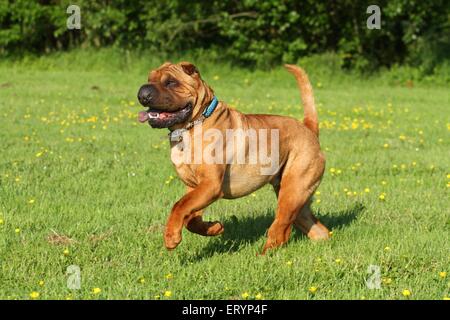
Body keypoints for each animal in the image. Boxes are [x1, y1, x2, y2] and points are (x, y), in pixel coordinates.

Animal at [135, 61, 328, 254]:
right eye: (149, 79)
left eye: (170, 82)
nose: (142, 94)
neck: (192, 126)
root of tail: (308, 128)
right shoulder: (194, 188)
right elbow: (190, 218)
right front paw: (213, 228)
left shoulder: (210, 185)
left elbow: (178, 206)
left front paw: (171, 237)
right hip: (298, 198)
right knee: (319, 231)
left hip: (291, 194)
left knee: (280, 230)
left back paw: (262, 255)